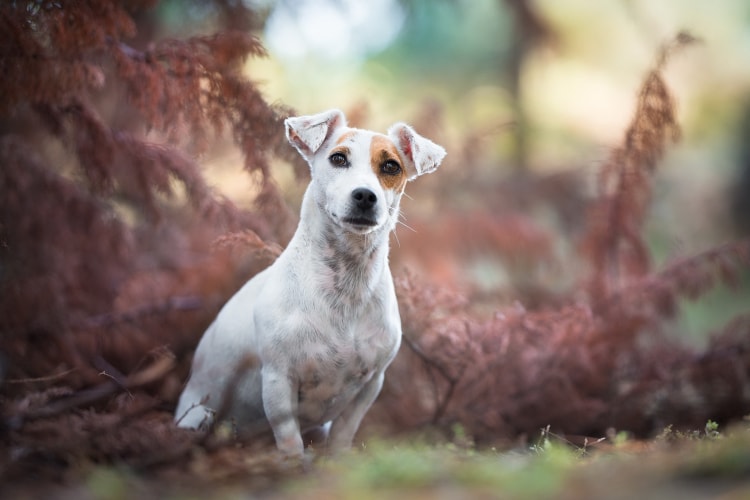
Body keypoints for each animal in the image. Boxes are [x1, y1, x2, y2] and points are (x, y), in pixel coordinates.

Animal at [176, 109, 446, 458]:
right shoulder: (278, 380)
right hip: (200, 415)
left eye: (391, 166)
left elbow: (343, 434)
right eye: (338, 158)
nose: (365, 195)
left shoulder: (370, 385)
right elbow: (290, 438)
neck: (346, 283)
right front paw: (295, 464)